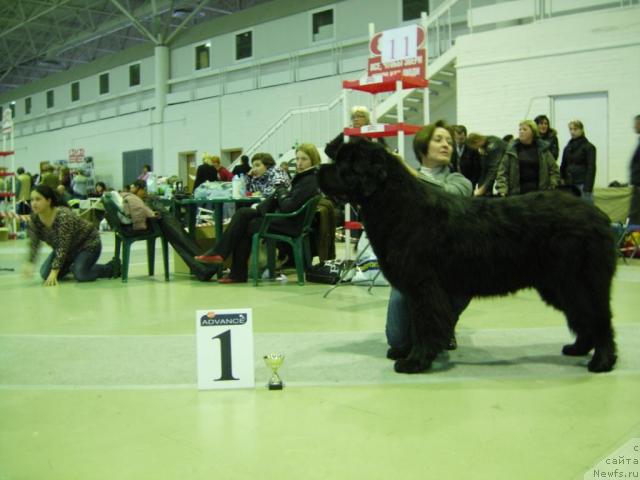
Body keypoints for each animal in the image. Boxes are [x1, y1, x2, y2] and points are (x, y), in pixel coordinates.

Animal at [318, 139, 616, 376]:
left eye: (344, 162)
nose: (319, 170)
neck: (396, 205)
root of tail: (598, 216)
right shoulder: (419, 290)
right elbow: (417, 324)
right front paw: (407, 352)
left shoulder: (424, 287)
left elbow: (425, 324)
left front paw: (415, 361)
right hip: (559, 286)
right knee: (583, 317)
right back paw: (578, 348)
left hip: (577, 282)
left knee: (598, 318)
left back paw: (602, 362)